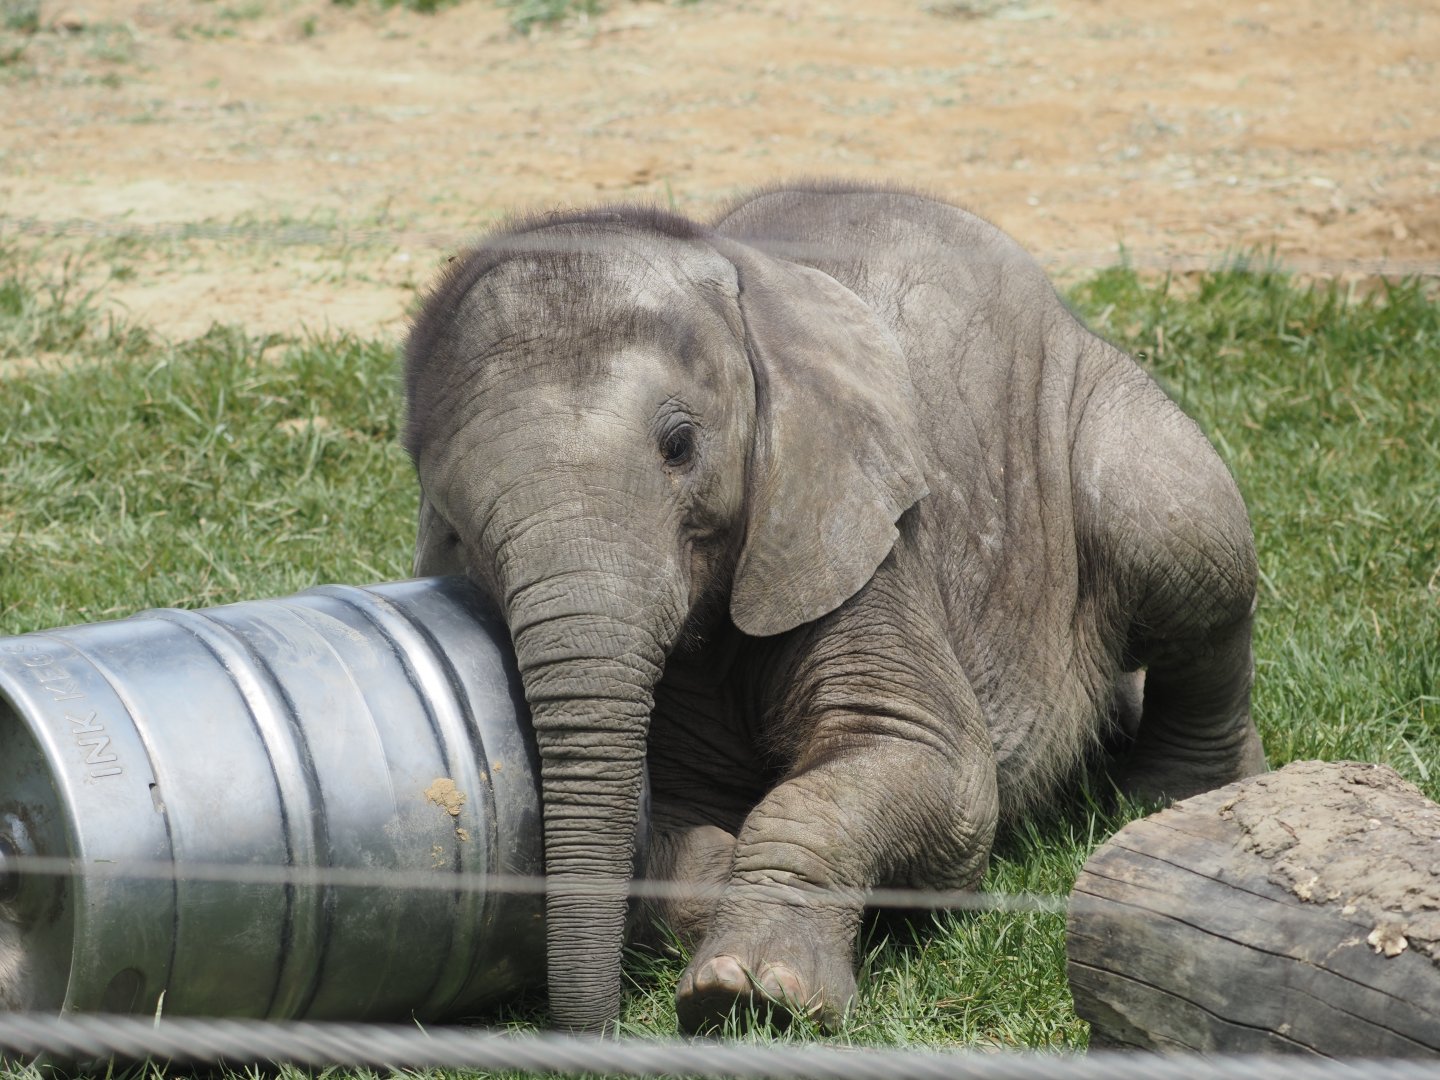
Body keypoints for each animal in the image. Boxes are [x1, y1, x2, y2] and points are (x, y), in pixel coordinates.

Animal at [402, 182, 1266, 1035]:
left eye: (679, 446)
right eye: (452, 522)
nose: (592, 1028)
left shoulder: (859, 529)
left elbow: (925, 761)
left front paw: (750, 994)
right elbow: (666, 822)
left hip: (1105, 416)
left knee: (1183, 544)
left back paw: (1178, 799)